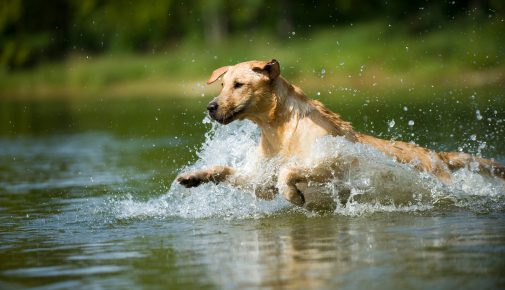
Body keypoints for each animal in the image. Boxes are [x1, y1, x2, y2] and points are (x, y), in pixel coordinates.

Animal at [175, 60, 502, 207]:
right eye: (221, 85)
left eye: (239, 84)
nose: (211, 107)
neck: (278, 130)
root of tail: (437, 155)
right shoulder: (260, 178)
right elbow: (227, 170)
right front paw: (193, 176)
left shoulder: (333, 162)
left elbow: (289, 172)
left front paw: (294, 195)